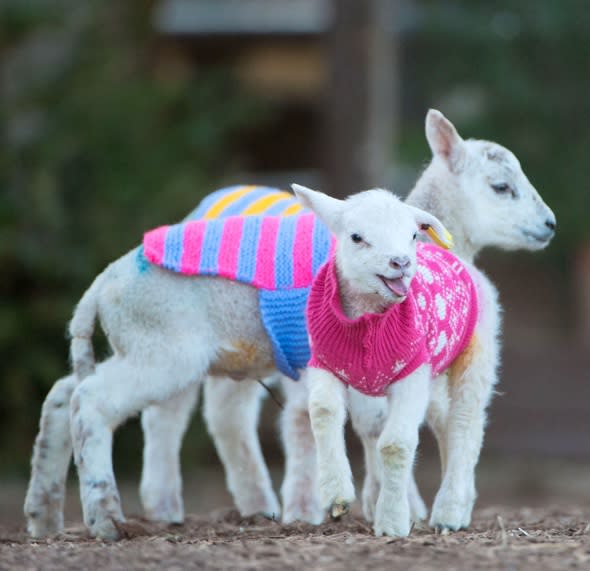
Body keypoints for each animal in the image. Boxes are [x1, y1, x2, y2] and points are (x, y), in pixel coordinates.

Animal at [294, 185, 502, 540]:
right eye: (357, 237)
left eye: (412, 235)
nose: (401, 262)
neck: (367, 320)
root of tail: (461, 260)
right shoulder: (324, 361)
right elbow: (322, 411)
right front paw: (336, 495)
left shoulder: (412, 371)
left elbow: (395, 445)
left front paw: (391, 521)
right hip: (434, 378)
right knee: (446, 423)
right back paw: (460, 505)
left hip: (476, 353)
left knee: (465, 424)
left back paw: (449, 511)